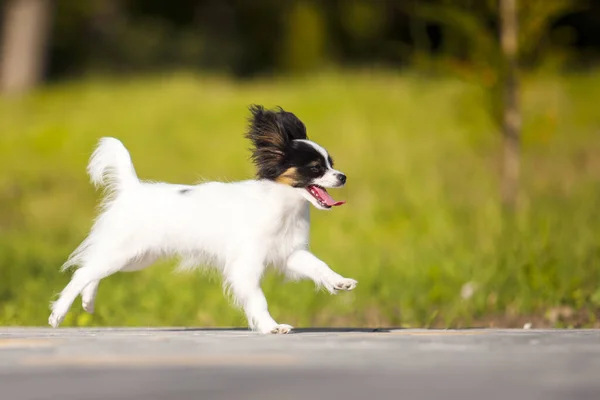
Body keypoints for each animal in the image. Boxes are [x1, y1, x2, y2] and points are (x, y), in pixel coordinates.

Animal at [50, 104, 356, 332]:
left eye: (332, 164)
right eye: (316, 168)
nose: (342, 176)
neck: (283, 207)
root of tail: (132, 189)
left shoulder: (289, 253)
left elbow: (319, 267)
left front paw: (340, 282)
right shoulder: (245, 266)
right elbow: (258, 299)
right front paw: (271, 326)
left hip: (136, 257)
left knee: (92, 270)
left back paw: (88, 302)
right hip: (124, 252)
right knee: (82, 272)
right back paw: (59, 314)